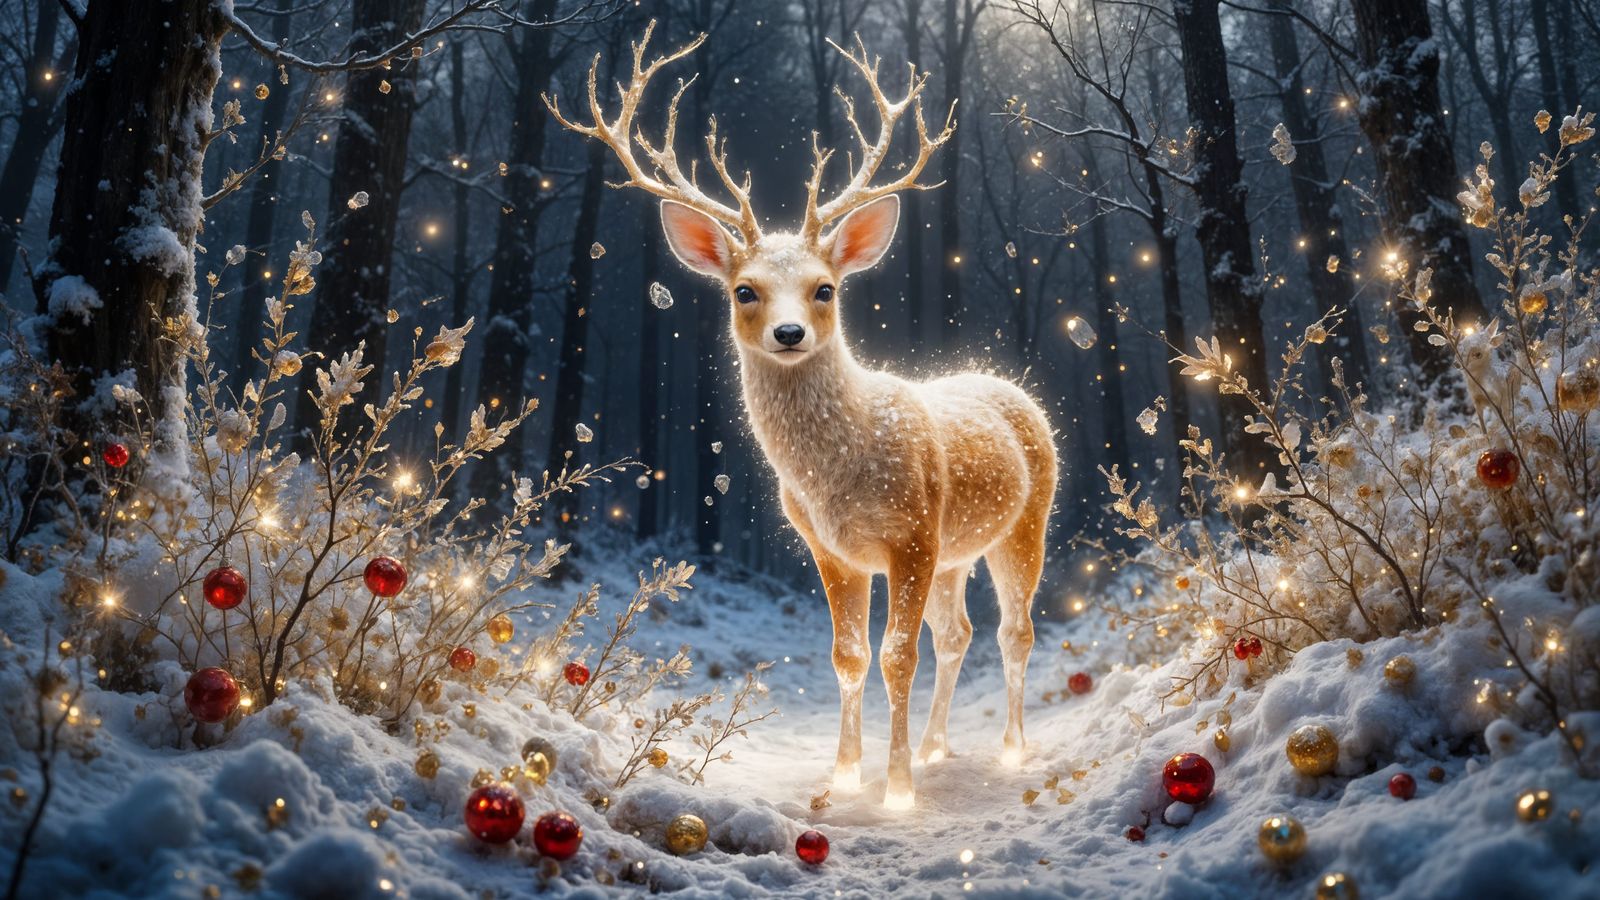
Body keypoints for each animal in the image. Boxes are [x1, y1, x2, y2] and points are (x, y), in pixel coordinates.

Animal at [546, 24, 1057, 810]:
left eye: (825, 288)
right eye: (745, 291)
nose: (789, 333)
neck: (841, 475)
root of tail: (1012, 388)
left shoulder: (912, 533)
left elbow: (896, 656)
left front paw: (897, 790)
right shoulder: (831, 546)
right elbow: (849, 656)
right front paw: (846, 776)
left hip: (1026, 521)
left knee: (1014, 631)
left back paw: (1008, 750)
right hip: (957, 547)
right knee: (959, 633)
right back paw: (938, 748)